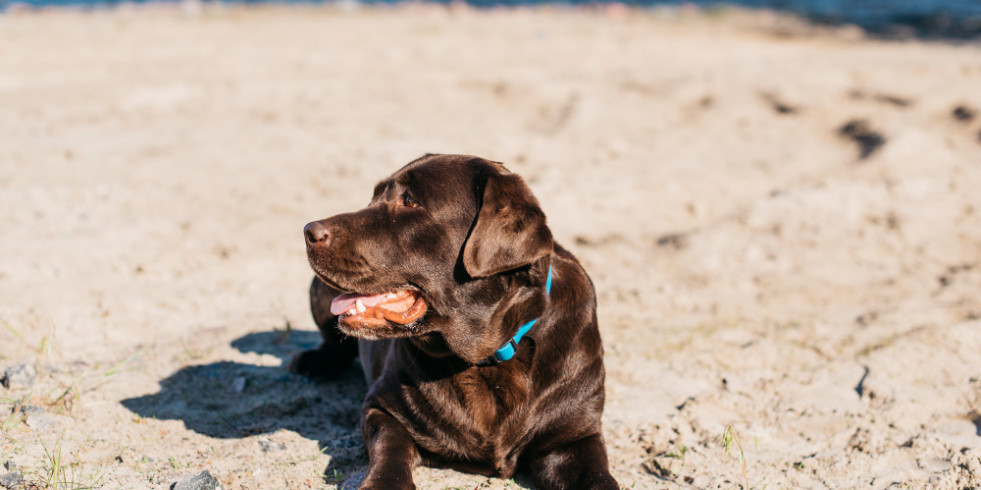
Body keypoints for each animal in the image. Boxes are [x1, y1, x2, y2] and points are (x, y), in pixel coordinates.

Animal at [290, 155, 616, 488]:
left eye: (409, 200)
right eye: (374, 197)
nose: (308, 230)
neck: (484, 358)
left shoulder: (575, 435)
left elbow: (600, 479)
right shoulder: (382, 407)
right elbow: (390, 448)